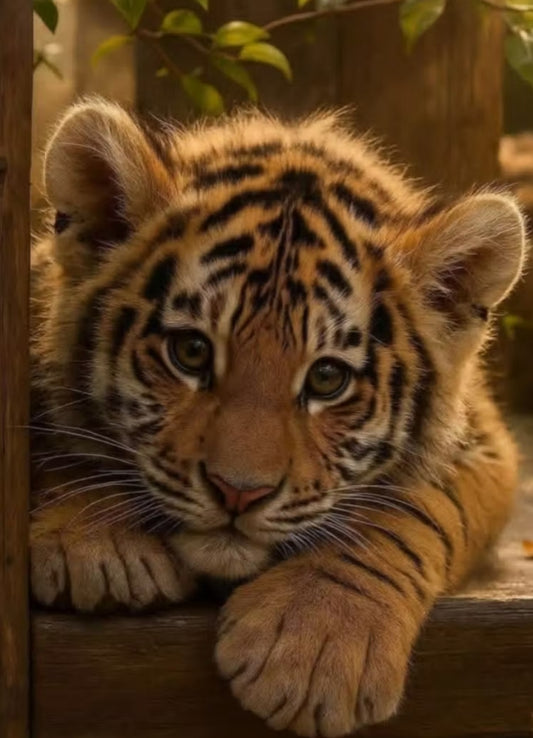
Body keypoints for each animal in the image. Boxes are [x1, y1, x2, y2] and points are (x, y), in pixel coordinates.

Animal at [30, 98, 526, 737]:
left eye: (327, 378)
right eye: (191, 351)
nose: (238, 492)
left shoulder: (484, 444)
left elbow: (419, 509)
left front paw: (317, 644)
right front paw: (98, 548)